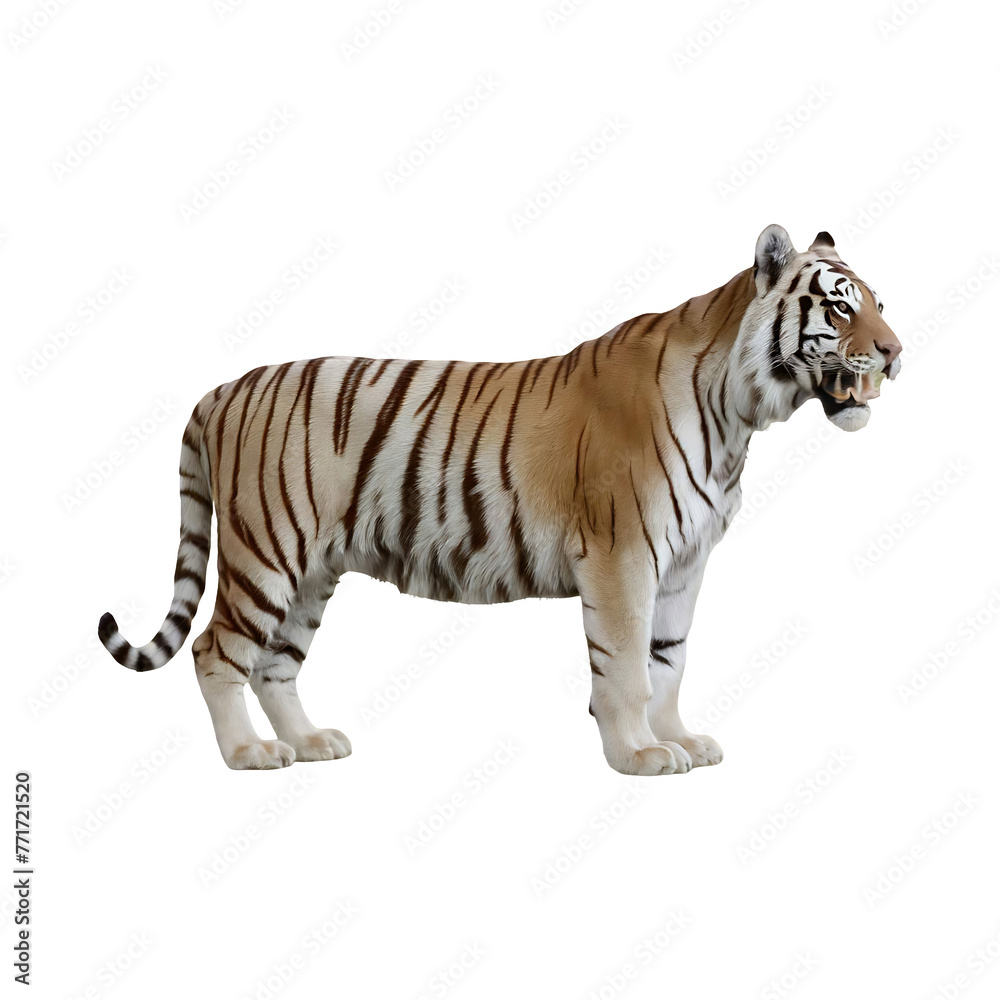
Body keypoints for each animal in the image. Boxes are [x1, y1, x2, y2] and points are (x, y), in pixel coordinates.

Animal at [99, 225, 901, 775]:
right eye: (840, 307)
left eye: (881, 304)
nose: (896, 351)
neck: (737, 412)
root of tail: (221, 389)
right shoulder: (622, 555)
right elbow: (626, 666)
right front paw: (638, 755)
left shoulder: (684, 563)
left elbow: (668, 661)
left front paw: (679, 740)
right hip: (267, 550)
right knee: (214, 649)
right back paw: (249, 754)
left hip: (313, 570)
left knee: (275, 663)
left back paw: (311, 742)